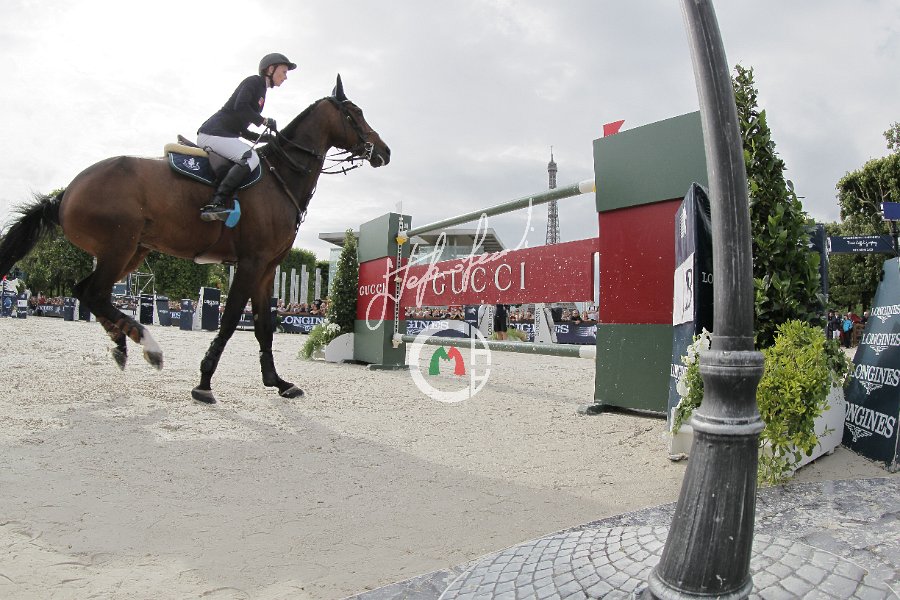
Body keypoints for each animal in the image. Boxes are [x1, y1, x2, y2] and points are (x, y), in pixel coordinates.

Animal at [0, 75, 390, 404]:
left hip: (131, 253)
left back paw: (122, 342)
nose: (384, 151)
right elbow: (231, 320)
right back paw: (147, 345)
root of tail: (67, 192)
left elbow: (264, 327)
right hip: (119, 248)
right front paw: (204, 383)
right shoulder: (251, 264)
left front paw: (277, 382)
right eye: (355, 113)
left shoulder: (267, 269)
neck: (280, 177)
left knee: (88, 292)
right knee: (94, 292)